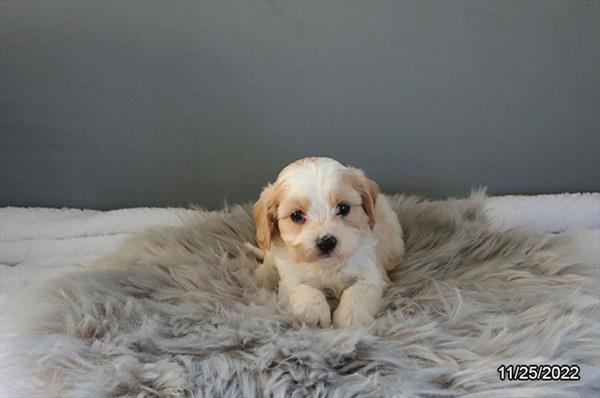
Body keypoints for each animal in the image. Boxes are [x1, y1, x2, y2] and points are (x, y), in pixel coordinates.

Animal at [251, 157, 406, 328]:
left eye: (344, 208)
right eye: (296, 215)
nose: (326, 242)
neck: (327, 265)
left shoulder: (371, 274)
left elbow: (358, 292)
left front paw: (351, 318)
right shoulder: (290, 278)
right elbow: (302, 288)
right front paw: (314, 313)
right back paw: (265, 272)